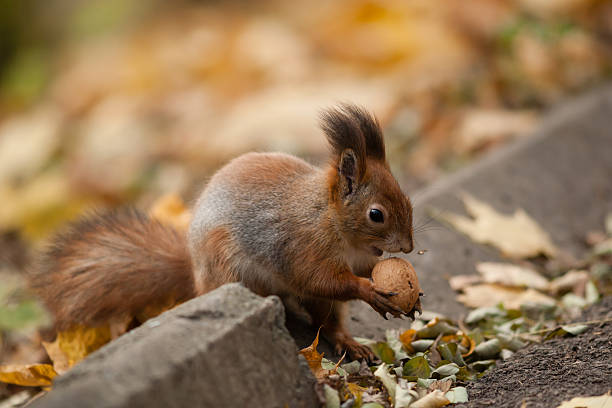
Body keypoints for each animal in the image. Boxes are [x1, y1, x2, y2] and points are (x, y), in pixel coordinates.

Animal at [34, 105, 416, 360]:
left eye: (406, 197)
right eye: (376, 215)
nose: (410, 247)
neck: (331, 219)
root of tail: (194, 273)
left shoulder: (358, 255)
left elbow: (360, 271)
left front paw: (395, 284)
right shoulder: (301, 247)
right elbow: (323, 280)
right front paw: (369, 290)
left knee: (328, 322)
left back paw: (348, 343)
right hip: (229, 268)